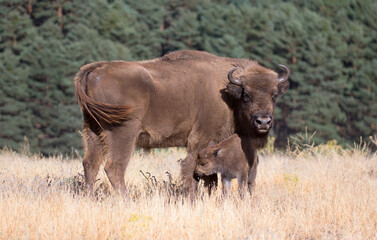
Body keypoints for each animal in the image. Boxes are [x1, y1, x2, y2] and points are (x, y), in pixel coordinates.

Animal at [74, 49, 290, 196]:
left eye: (274, 95)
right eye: (246, 96)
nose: (263, 121)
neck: (228, 93)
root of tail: (96, 69)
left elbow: (210, 177)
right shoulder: (200, 140)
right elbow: (193, 171)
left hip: (93, 131)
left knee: (90, 164)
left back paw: (89, 198)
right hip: (123, 133)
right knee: (114, 167)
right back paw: (127, 200)